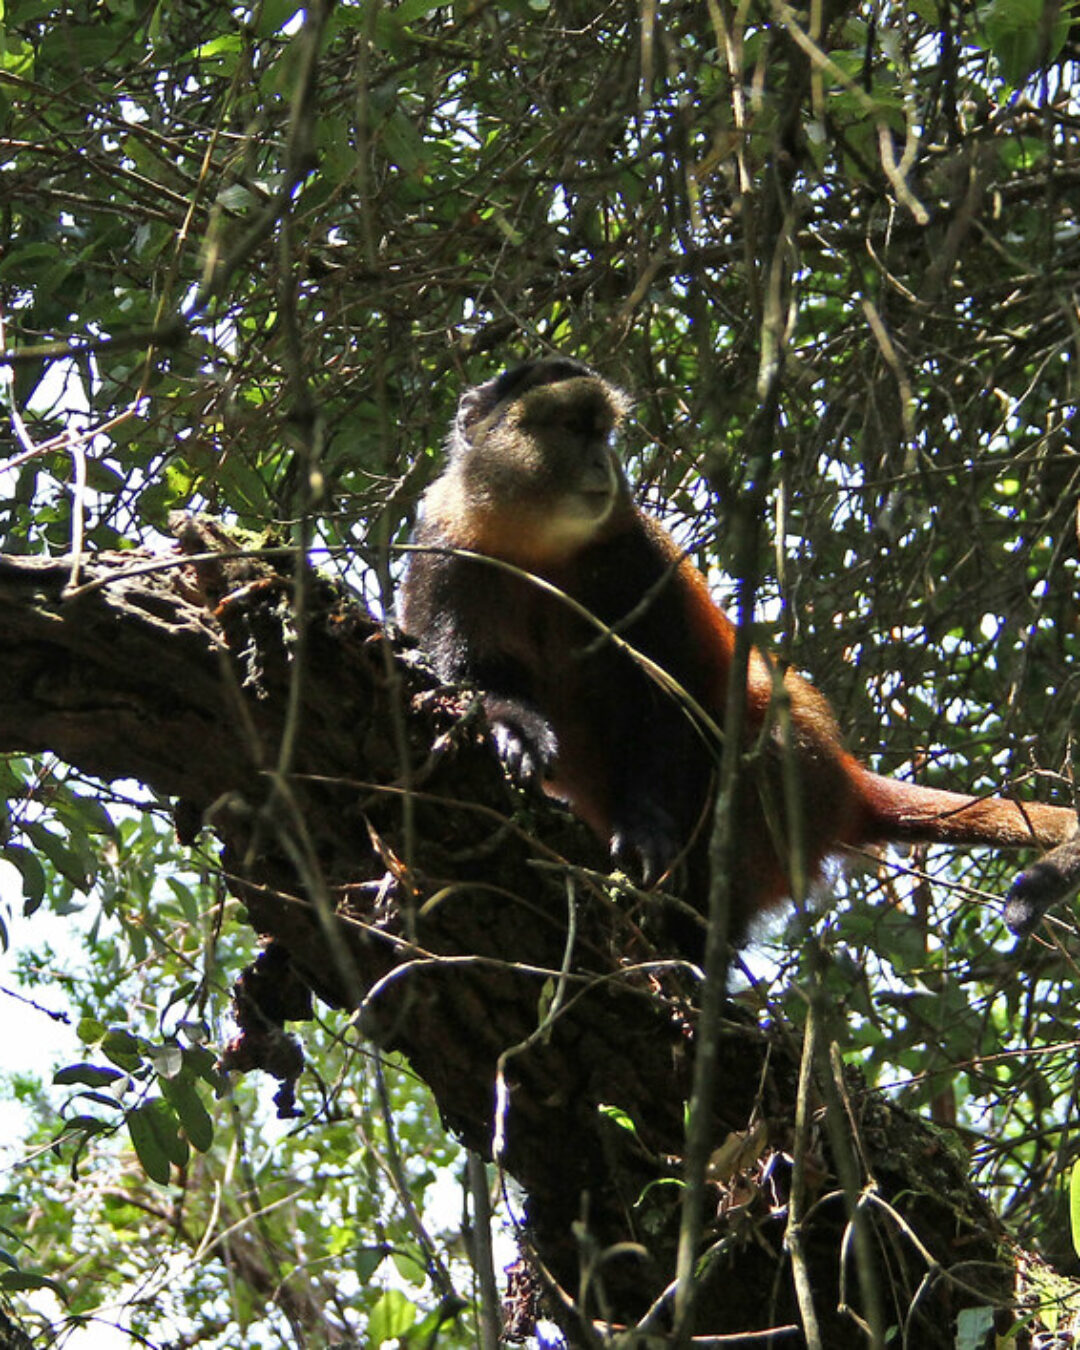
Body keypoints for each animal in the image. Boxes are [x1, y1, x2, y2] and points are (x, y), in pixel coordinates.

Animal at [399, 358, 1080, 947]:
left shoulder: (639, 561)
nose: (603, 463)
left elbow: (670, 695)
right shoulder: (445, 549)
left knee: (753, 725)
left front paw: (647, 831)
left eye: (605, 431)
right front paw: (512, 727)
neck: (540, 547)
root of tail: (845, 786)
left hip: (792, 785)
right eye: (572, 428)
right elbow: (468, 671)